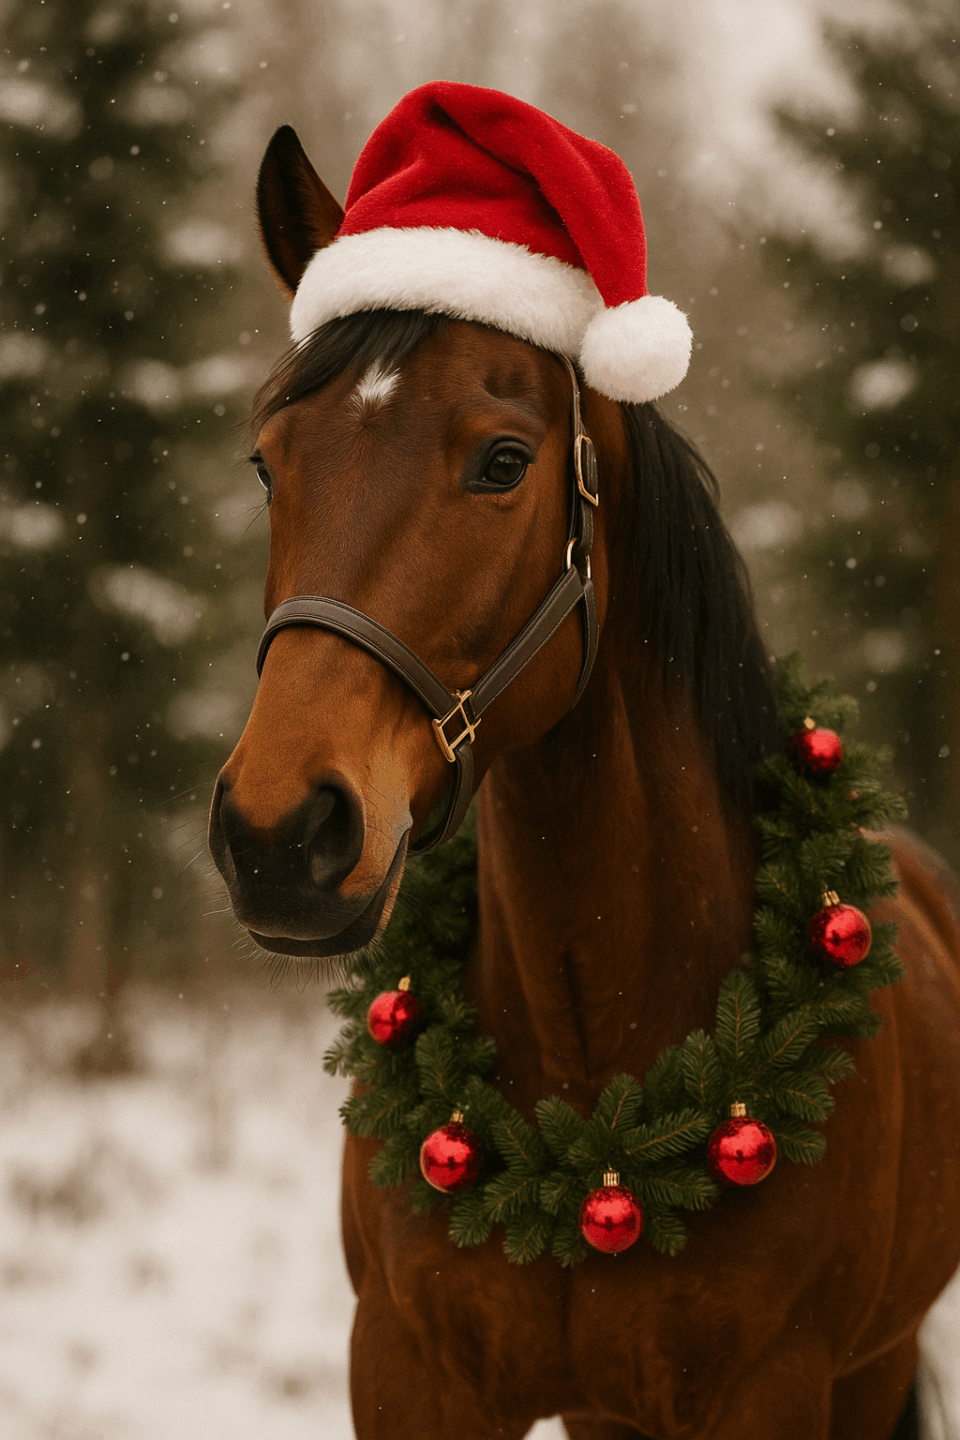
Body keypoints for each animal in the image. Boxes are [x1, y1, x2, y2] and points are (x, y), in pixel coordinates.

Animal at [208, 125, 960, 1439]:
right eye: (268, 463)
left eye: (505, 461)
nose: (275, 835)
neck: (589, 1102)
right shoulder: (409, 1372)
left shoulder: (772, 1389)